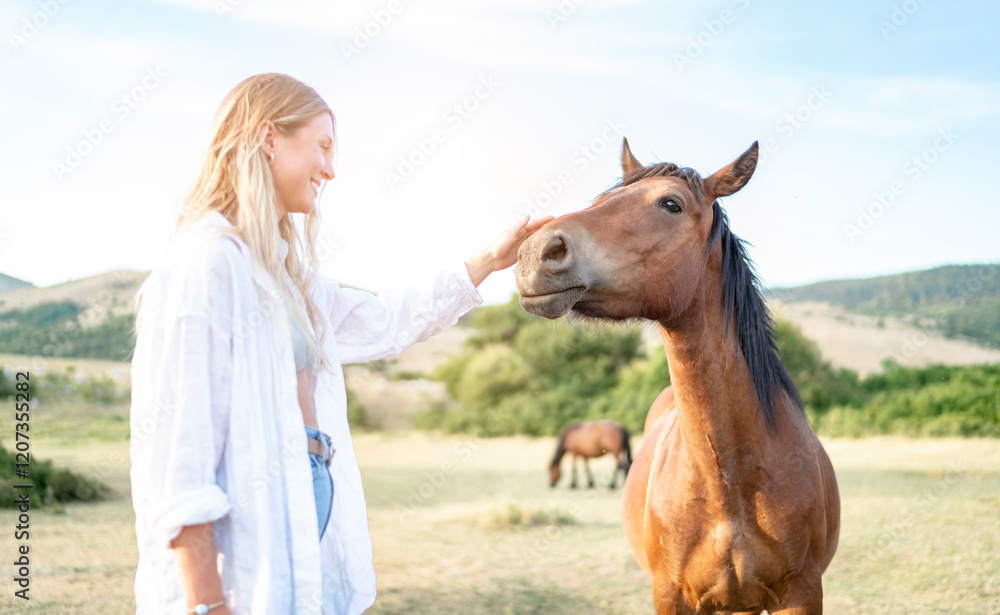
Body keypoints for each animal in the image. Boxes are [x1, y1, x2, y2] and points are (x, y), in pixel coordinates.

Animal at [515, 138, 840, 614]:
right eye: (604, 198)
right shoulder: (671, 594)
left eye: (671, 204)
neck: (730, 482)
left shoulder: (801, 592)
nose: (532, 254)